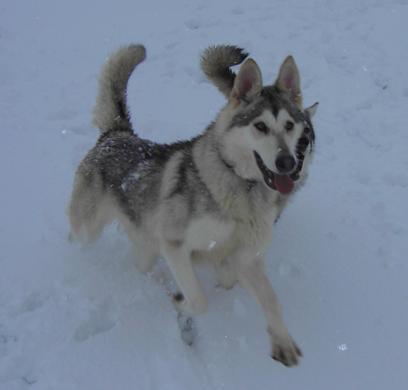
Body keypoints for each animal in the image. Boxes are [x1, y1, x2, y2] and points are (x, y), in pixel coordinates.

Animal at [68, 44, 318, 368]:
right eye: (260, 126)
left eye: (290, 126)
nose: (288, 163)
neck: (242, 190)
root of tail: (116, 133)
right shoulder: (174, 245)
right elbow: (199, 300)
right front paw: (181, 303)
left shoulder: (244, 258)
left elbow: (271, 300)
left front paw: (282, 340)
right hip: (90, 229)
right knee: (77, 236)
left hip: (146, 245)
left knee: (143, 264)